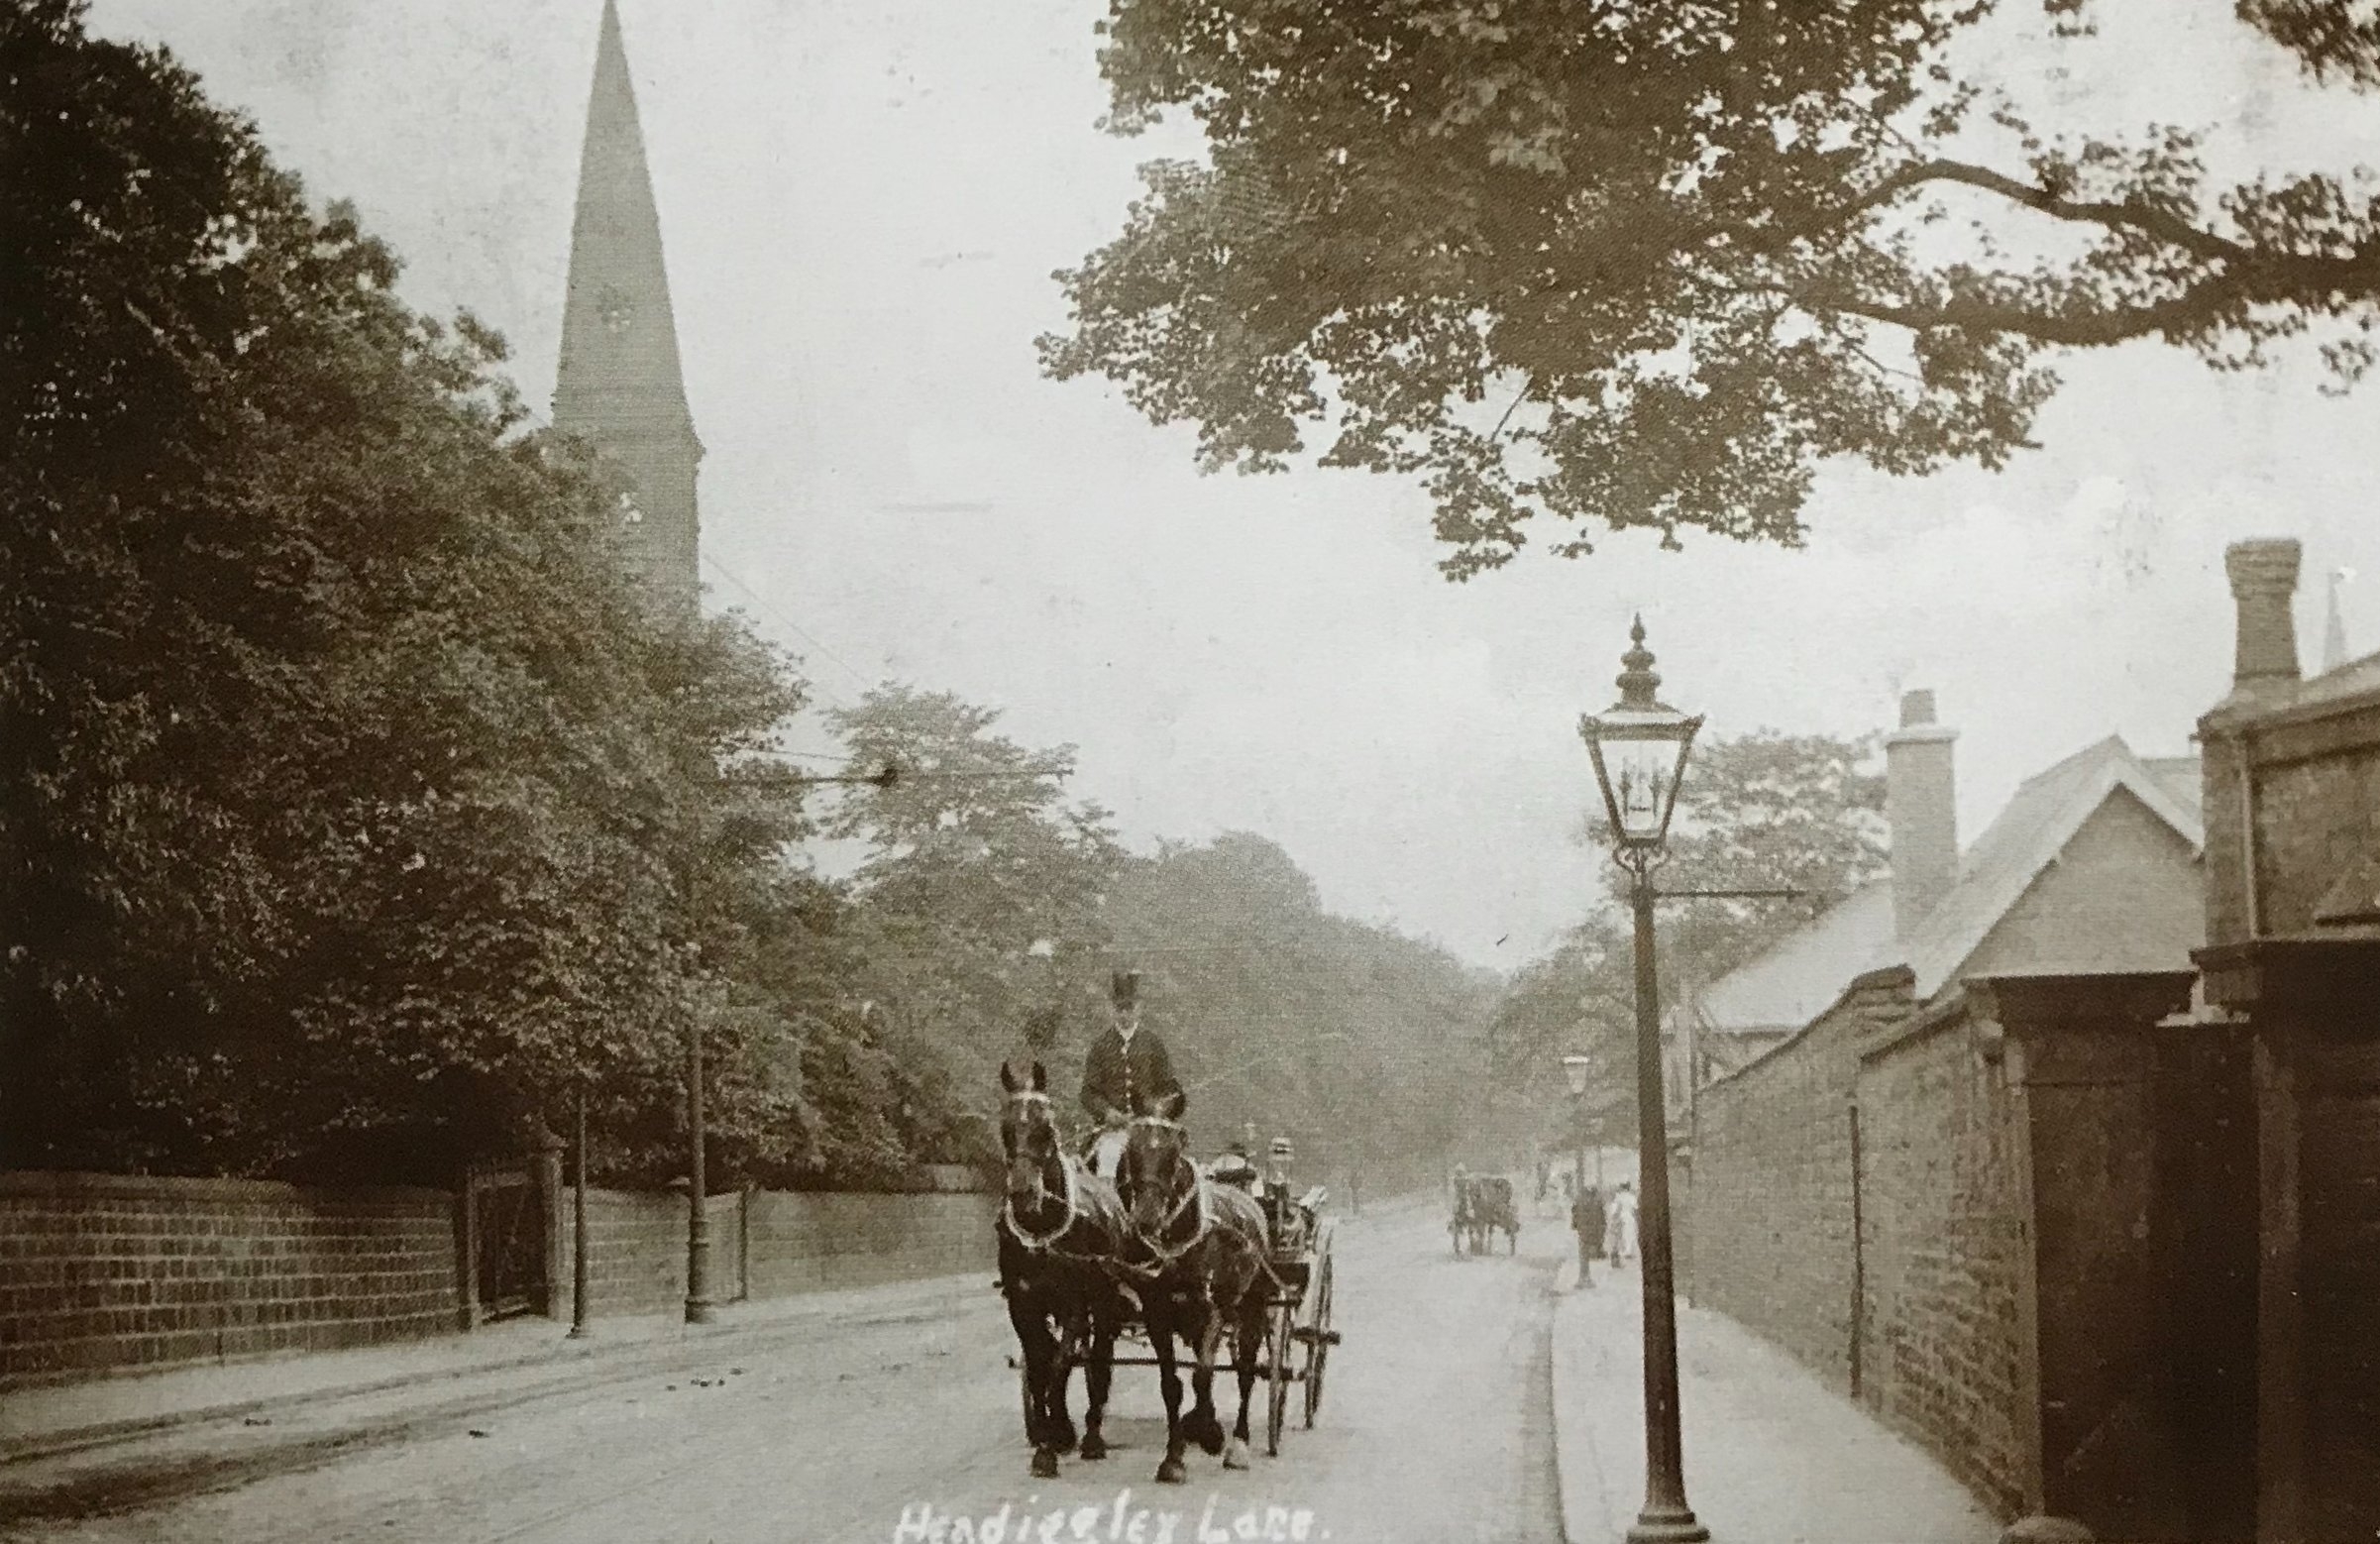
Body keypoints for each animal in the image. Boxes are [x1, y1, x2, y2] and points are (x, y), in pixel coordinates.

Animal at [995, 1051, 1123, 1475]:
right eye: (1006, 1127)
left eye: (1045, 1128)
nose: (1023, 1192)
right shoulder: (1023, 1304)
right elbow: (1039, 1363)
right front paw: (1050, 1432)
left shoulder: (1074, 1306)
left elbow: (1060, 1364)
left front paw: (1052, 1443)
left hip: (1105, 1304)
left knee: (1099, 1359)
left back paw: (1094, 1434)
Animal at [1109, 1084, 1275, 1484]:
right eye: (1132, 1149)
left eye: (1174, 1150)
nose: (1147, 1217)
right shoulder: (1157, 1313)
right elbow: (1172, 1384)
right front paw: (1174, 1457)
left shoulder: (1212, 1309)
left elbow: (1202, 1374)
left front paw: (1208, 1432)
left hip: (1251, 1306)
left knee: (1246, 1371)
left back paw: (1238, 1443)